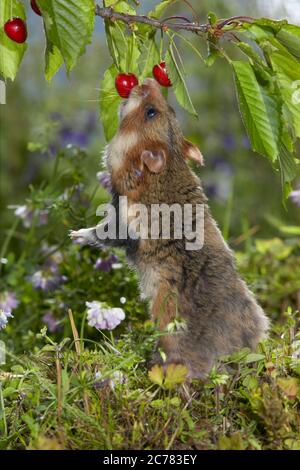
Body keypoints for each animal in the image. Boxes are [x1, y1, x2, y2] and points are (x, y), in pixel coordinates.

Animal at [71, 77, 270, 378]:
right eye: (172, 110)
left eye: (151, 112)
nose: (147, 79)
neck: (162, 172)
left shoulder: (123, 222)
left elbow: (101, 233)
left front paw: (74, 234)